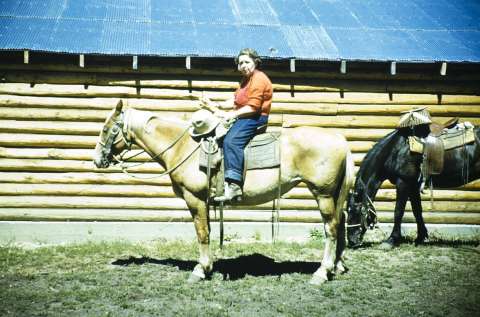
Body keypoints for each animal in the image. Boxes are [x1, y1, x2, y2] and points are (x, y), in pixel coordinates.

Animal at [94, 99, 356, 284]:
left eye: (107, 129)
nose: (97, 160)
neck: (182, 146)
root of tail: (340, 139)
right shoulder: (205, 201)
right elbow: (208, 231)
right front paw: (208, 267)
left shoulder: (195, 199)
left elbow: (202, 233)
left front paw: (201, 270)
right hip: (334, 195)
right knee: (341, 222)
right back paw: (337, 266)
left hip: (323, 194)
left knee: (331, 228)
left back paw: (322, 273)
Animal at [346, 123, 478, 247]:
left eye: (355, 211)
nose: (351, 240)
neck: (395, 149)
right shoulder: (413, 185)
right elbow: (417, 211)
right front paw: (421, 237)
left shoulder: (403, 182)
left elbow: (398, 211)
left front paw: (391, 240)